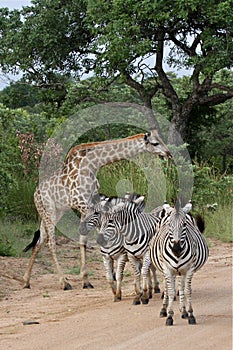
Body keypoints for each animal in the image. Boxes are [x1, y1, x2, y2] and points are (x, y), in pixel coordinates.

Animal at [23, 129, 171, 290]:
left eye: (161, 140)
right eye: (155, 143)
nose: (168, 153)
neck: (93, 164)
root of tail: (35, 195)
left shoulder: (91, 202)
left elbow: (84, 240)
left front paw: (87, 280)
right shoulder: (81, 202)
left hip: (53, 213)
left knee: (40, 241)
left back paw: (26, 281)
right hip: (49, 211)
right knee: (50, 243)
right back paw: (64, 282)